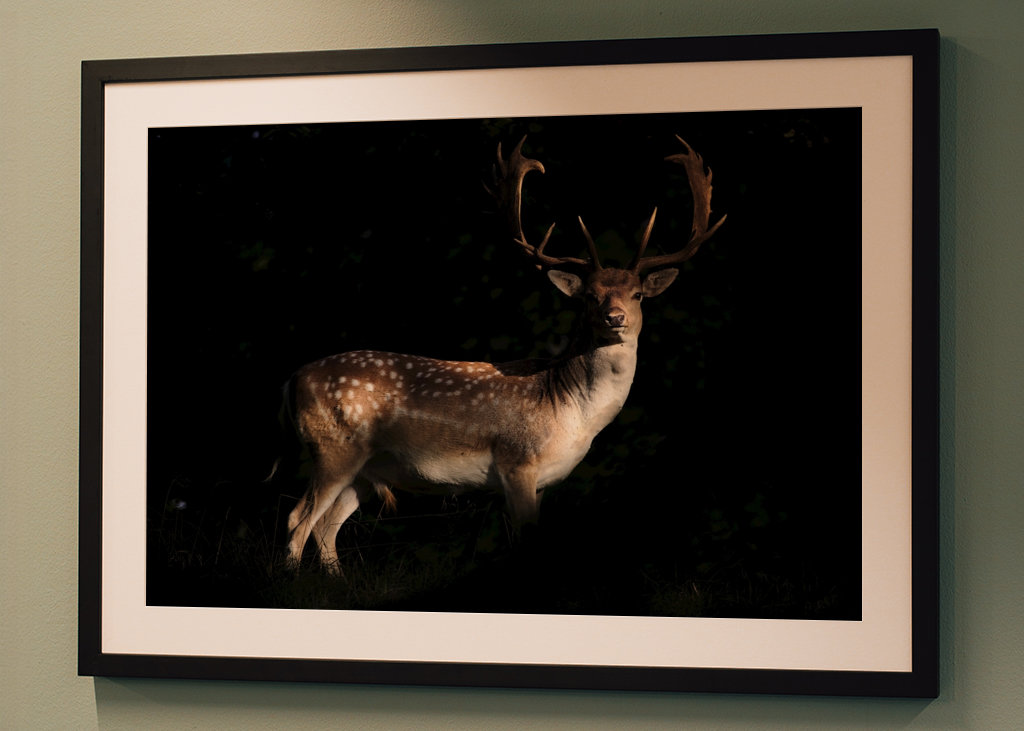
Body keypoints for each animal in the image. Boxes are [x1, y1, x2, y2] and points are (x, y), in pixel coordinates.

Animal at [282, 135, 725, 573]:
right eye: (589, 296)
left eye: (637, 295)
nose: (614, 317)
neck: (571, 413)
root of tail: (294, 379)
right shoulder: (517, 463)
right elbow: (524, 540)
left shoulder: (544, 481)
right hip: (333, 447)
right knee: (298, 519)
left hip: (365, 469)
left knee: (325, 527)